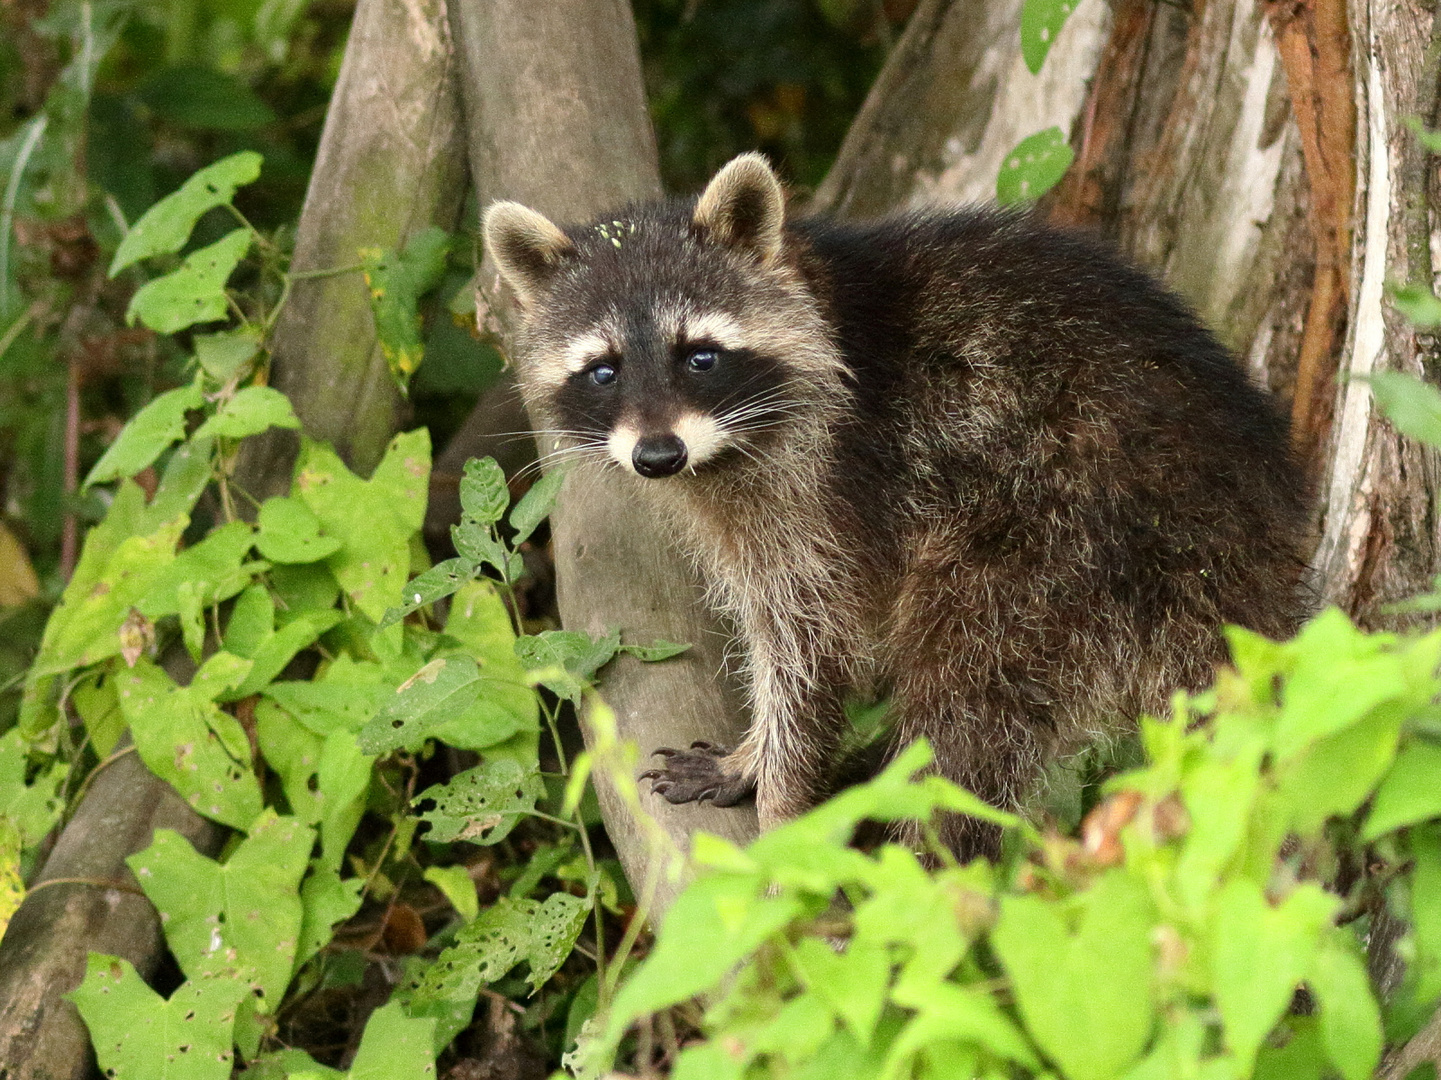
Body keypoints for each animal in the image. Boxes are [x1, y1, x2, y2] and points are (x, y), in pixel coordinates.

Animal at [481, 153, 1308, 859]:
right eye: (603, 370)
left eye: (700, 357)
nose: (657, 456)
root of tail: (1249, 537)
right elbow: (781, 638)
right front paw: (751, 756)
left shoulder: (822, 486)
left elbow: (810, 647)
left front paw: (780, 798)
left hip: (1055, 538)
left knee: (966, 709)